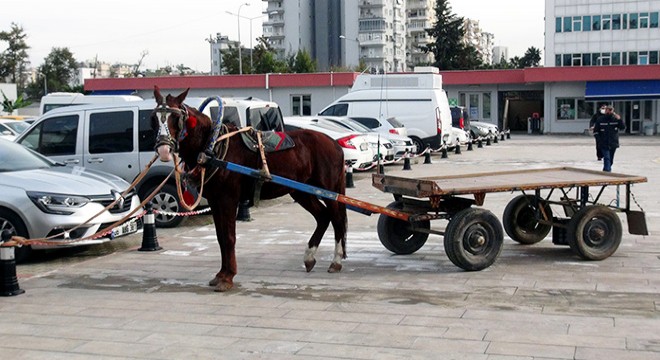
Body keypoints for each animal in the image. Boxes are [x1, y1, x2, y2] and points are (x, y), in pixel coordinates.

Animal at [152, 87, 348, 292]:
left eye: (176, 117)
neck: (212, 147)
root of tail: (334, 143)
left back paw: (336, 261)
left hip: (329, 191)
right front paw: (220, 274)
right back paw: (309, 257)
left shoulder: (228, 199)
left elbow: (229, 237)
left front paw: (228, 277)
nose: (163, 149)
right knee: (323, 217)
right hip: (302, 191)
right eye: (154, 118)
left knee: (337, 220)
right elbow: (220, 237)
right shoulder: (215, 201)